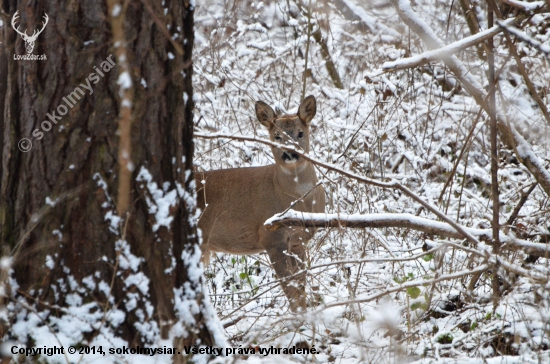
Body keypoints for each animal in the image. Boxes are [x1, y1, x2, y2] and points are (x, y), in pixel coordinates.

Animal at [197, 95, 326, 312]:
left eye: (300, 133)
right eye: (277, 136)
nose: (289, 153)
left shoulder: (300, 239)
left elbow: (300, 286)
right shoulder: (271, 237)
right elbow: (290, 289)